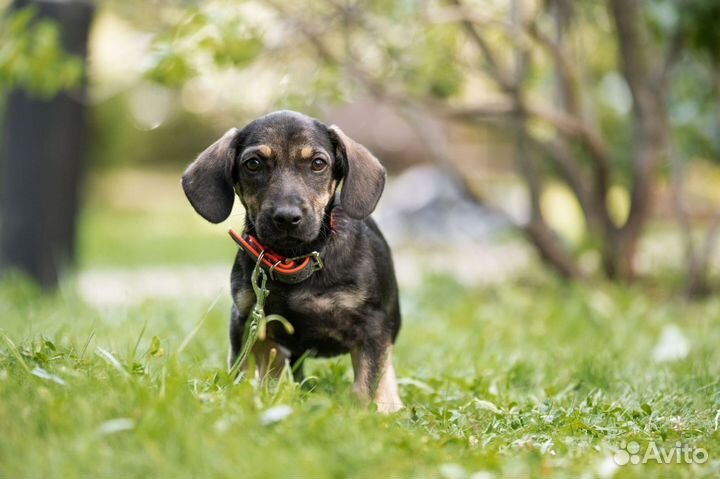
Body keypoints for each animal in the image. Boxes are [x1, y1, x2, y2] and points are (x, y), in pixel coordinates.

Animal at [180, 109, 402, 412]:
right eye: (253, 164)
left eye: (318, 163)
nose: (287, 217)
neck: (296, 259)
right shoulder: (248, 322)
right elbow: (244, 373)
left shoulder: (372, 327)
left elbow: (368, 384)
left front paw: (369, 412)